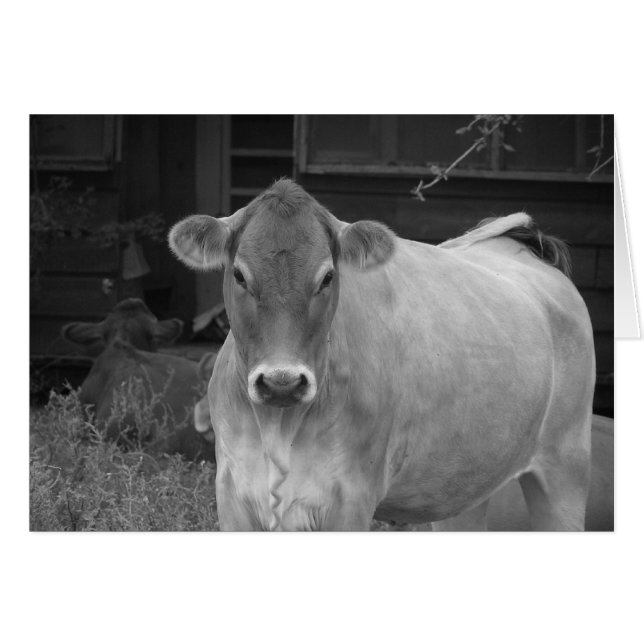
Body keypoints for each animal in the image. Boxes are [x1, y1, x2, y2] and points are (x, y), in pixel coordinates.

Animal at [169, 179, 596, 531]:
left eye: (328, 276)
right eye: (239, 274)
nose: (281, 383)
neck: (279, 426)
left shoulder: (350, 498)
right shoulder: (233, 493)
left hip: (567, 467)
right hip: (467, 483)